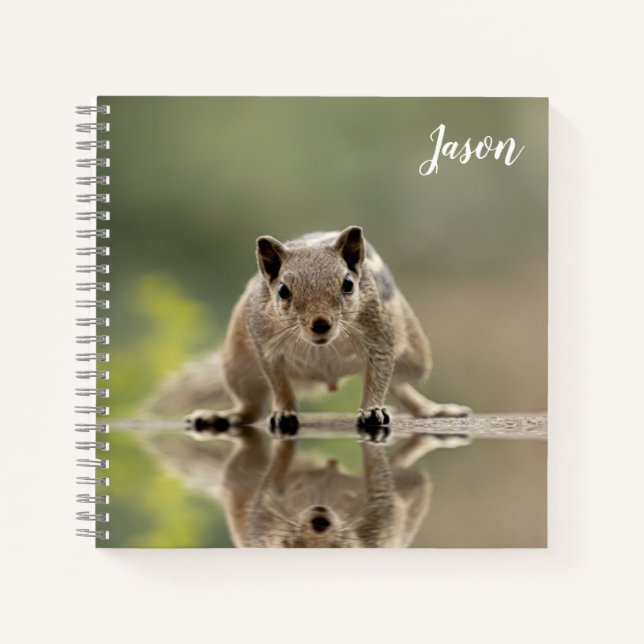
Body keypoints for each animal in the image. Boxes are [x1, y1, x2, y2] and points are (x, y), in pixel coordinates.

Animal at [184, 226, 470, 440]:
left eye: (348, 284)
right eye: (283, 291)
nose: (321, 323)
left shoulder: (378, 336)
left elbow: (379, 374)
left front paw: (372, 410)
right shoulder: (265, 345)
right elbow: (279, 383)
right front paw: (284, 412)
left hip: (416, 359)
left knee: (398, 382)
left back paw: (431, 409)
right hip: (238, 368)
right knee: (250, 408)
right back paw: (220, 416)